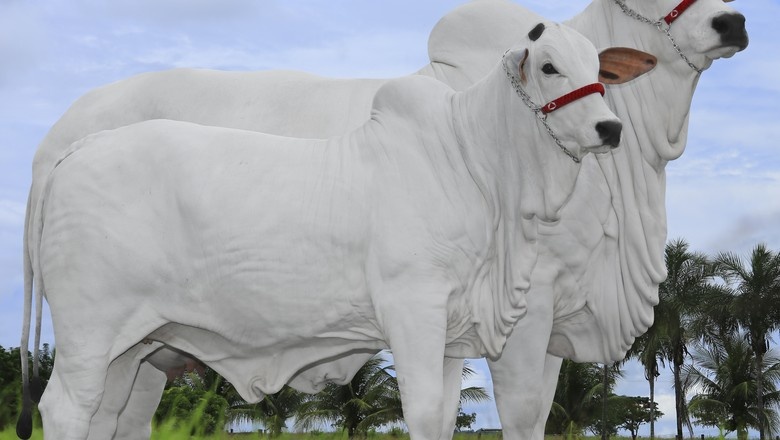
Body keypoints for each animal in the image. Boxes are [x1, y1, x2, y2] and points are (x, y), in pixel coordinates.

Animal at [22, 23, 625, 440]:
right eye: (548, 66)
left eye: (596, 65)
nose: (611, 127)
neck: (473, 164)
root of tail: (76, 148)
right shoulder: (413, 308)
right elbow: (423, 411)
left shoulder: (452, 332)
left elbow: (443, 417)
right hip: (89, 328)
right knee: (66, 408)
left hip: (131, 345)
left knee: (104, 414)